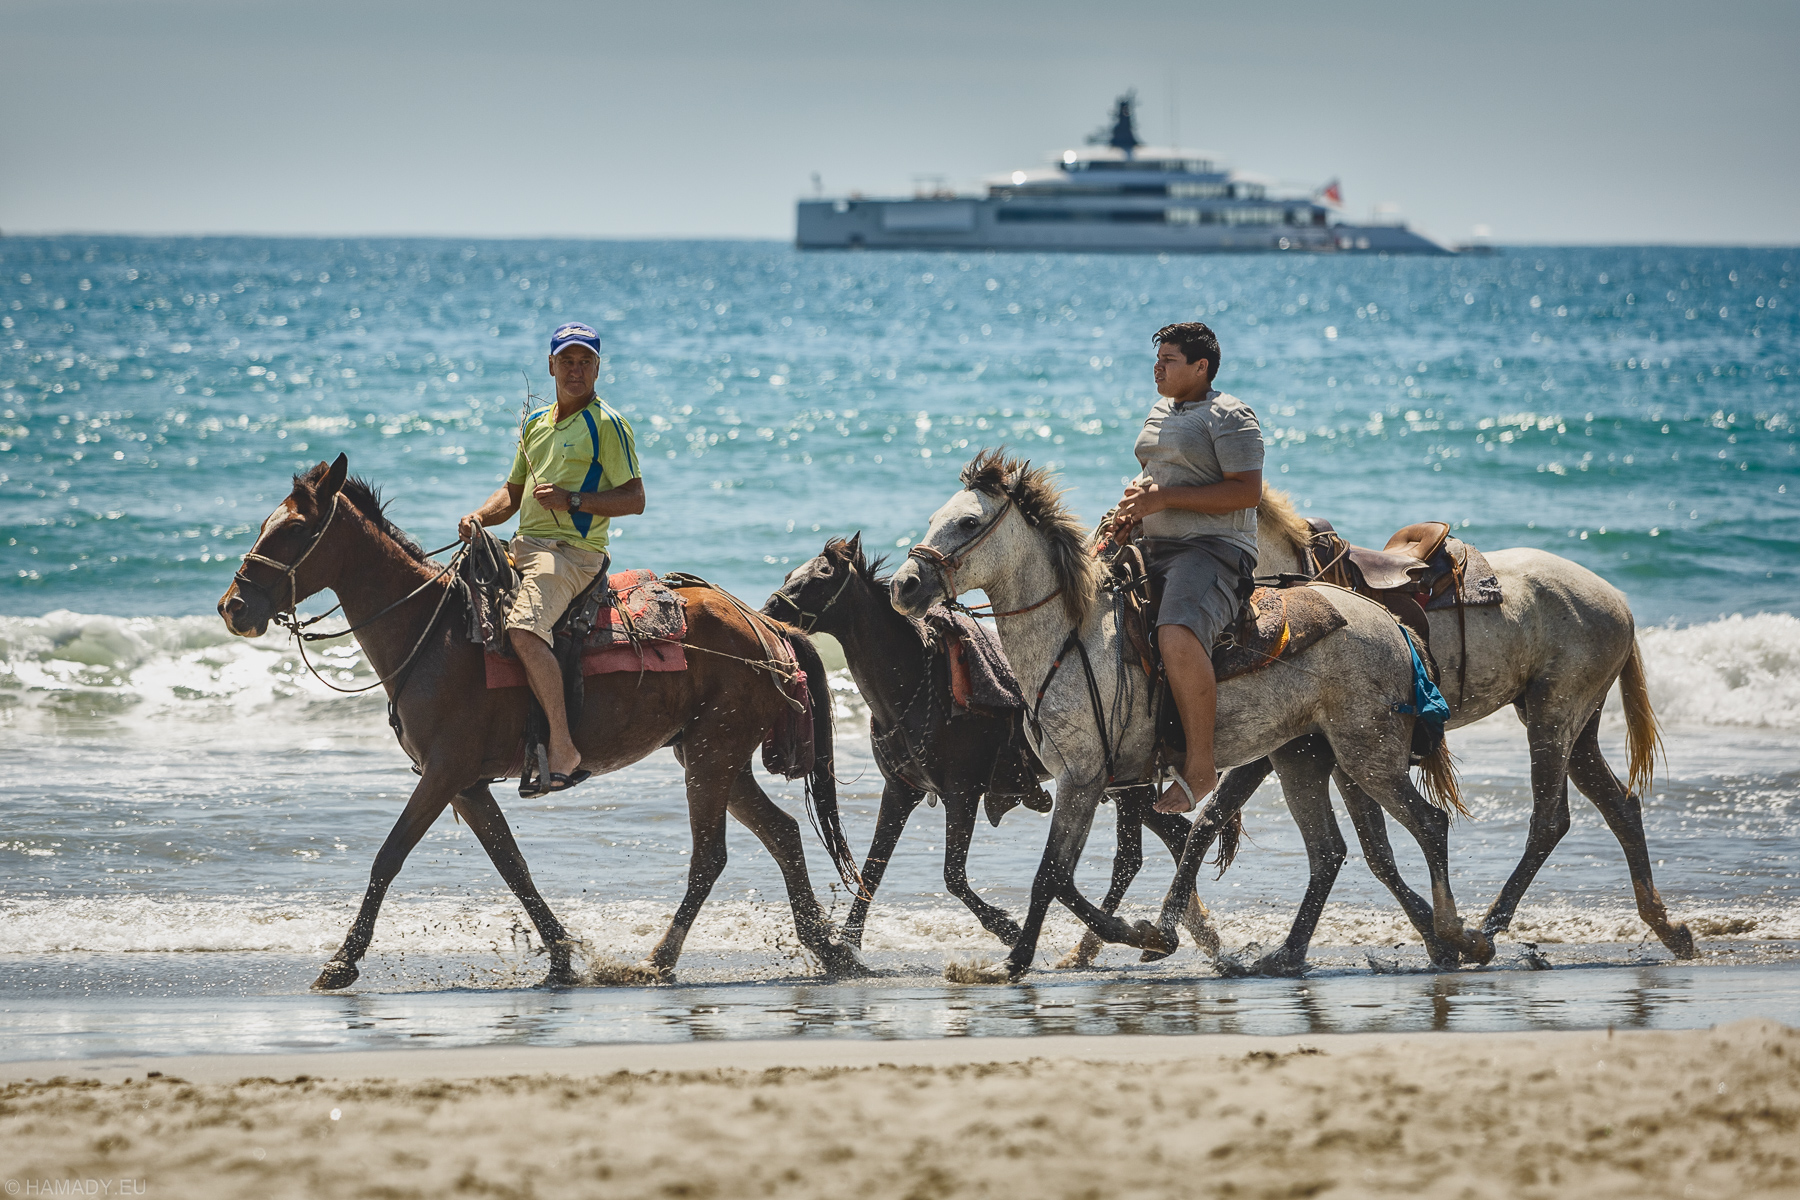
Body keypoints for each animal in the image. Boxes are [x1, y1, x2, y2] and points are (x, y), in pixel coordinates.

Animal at [217, 455, 864, 993]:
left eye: (292, 530)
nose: (233, 607)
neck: (433, 633)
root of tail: (765, 624)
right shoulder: (466, 785)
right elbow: (513, 867)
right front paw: (559, 957)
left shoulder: (442, 774)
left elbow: (389, 856)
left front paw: (341, 961)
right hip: (713, 756)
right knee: (782, 834)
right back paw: (826, 948)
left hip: (712, 755)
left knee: (710, 857)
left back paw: (659, 960)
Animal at [885, 447, 1490, 978]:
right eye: (936, 519)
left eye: (967, 522)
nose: (904, 586)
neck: (1073, 637)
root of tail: (1392, 622)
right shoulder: (1101, 783)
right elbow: (1069, 876)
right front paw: (1134, 937)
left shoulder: (1082, 779)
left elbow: (1051, 875)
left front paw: (1025, 957)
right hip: (1303, 757)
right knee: (1329, 852)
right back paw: (1288, 955)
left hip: (1368, 756)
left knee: (1427, 825)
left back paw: (1456, 936)